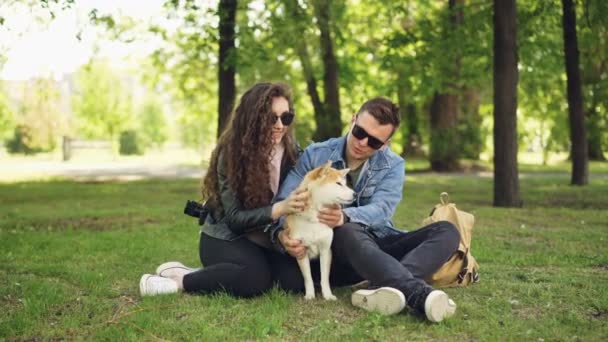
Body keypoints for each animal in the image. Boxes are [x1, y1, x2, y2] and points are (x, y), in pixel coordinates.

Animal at [284, 160, 356, 300]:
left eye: (345, 184)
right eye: (338, 183)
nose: (355, 194)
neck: (314, 220)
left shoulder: (326, 251)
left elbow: (324, 278)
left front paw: (327, 295)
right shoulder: (301, 251)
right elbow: (308, 278)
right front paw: (310, 295)